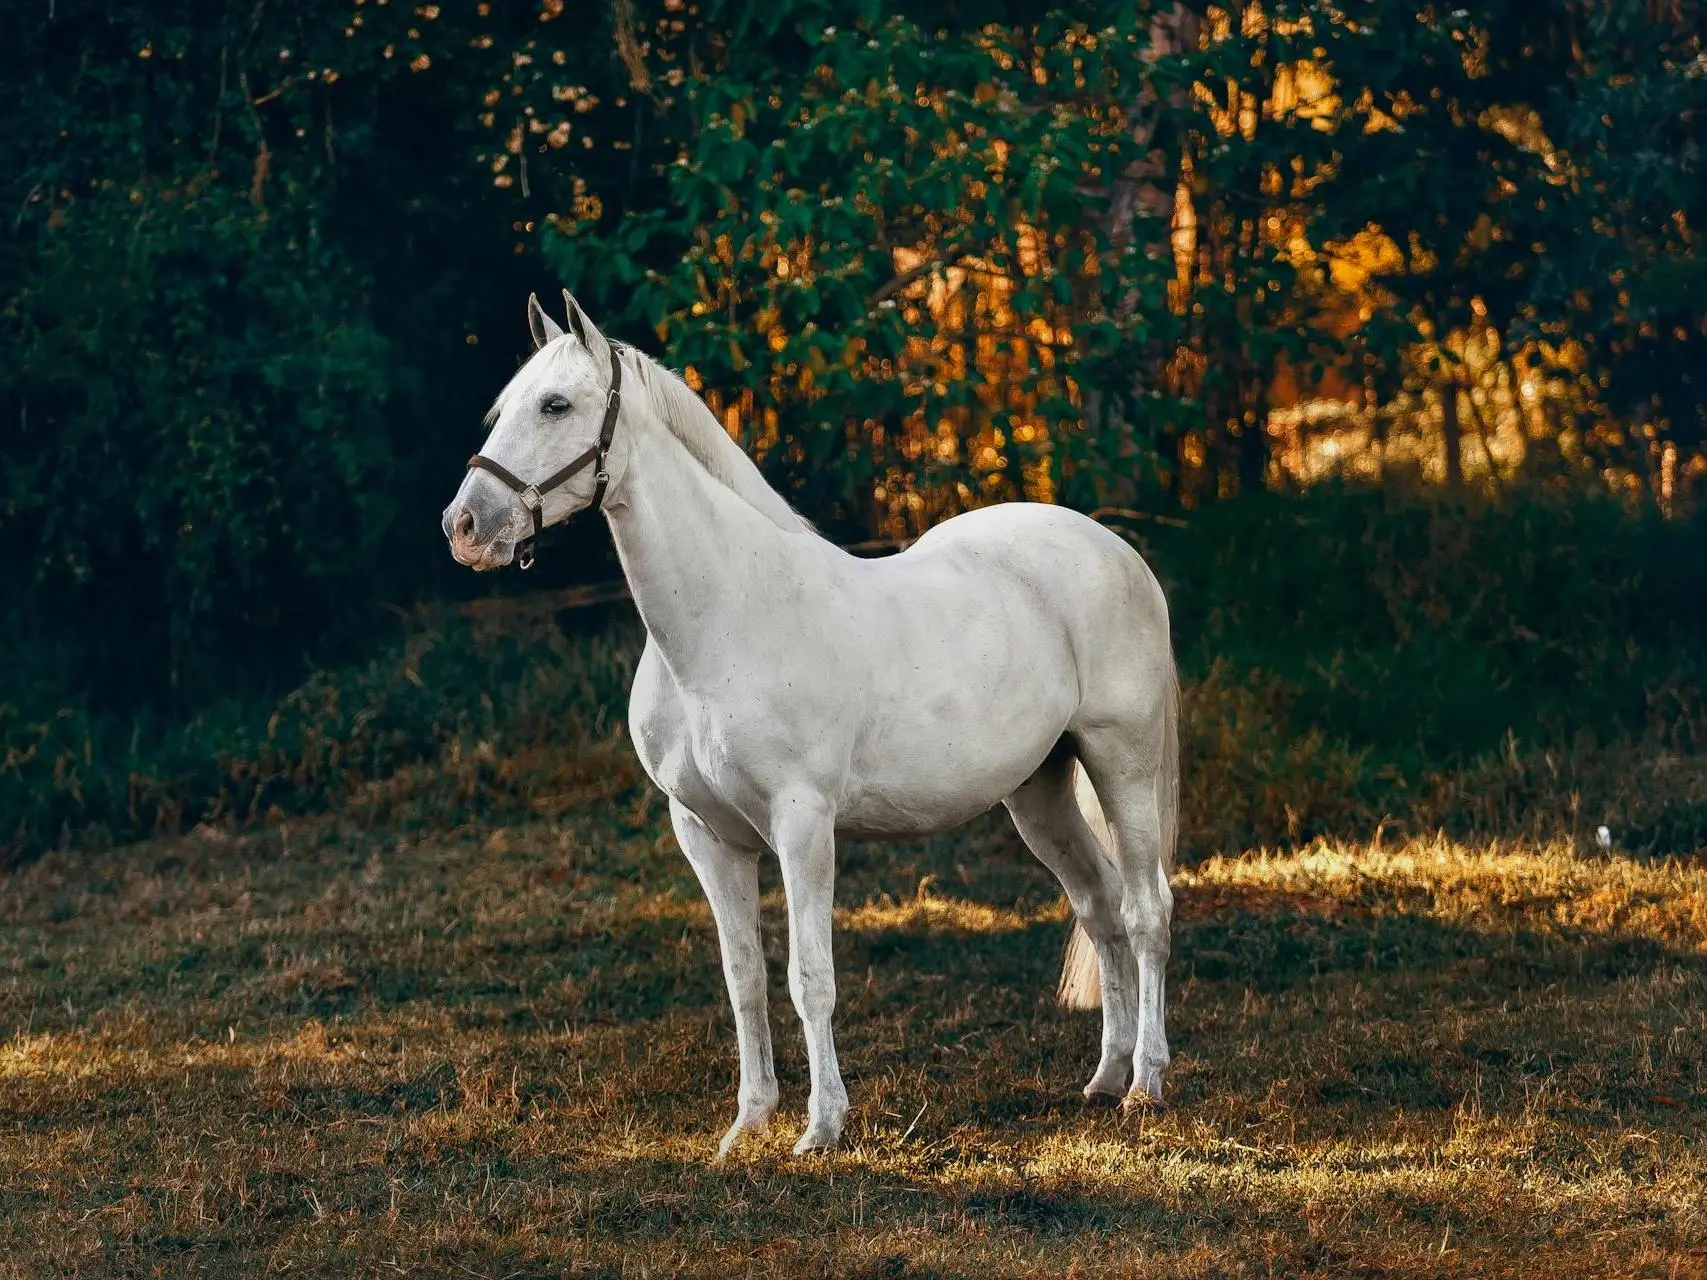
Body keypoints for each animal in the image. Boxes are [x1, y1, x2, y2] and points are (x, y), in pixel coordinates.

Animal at [447, 295, 1181, 1160]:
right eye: (503, 408)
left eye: (556, 405)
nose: (465, 526)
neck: (725, 619)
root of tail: (1115, 550)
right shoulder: (705, 834)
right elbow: (743, 980)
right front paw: (746, 1124)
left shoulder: (802, 825)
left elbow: (810, 978)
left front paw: (821, 1127)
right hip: (1038, 792)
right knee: (1098, 906)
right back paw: (1102, 1077)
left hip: (1120, 761)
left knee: (1144, 911)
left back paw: (1144, 1084)